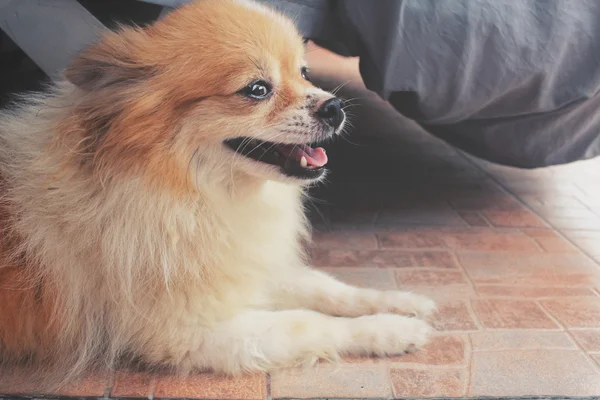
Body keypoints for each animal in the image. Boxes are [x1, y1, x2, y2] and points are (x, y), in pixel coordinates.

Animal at [0, 0, 434, 384]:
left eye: (305, 73)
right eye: (257, 89)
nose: (335, 106)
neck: (202, 195)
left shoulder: (242, 263)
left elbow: (327, 287)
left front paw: (402, 302)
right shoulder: (189, 329)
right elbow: (309, 322)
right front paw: (392, 330)